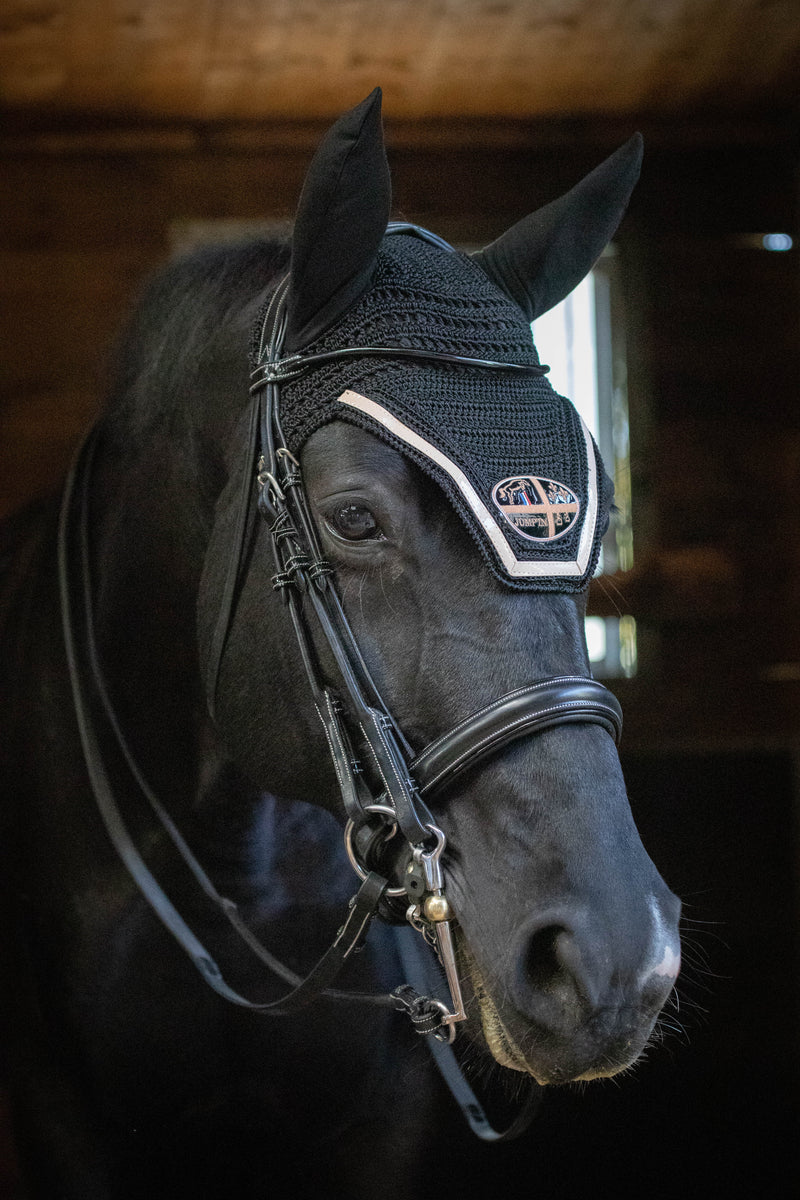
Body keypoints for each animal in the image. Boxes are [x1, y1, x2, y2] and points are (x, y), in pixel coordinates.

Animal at [0, 89, 681, 1199]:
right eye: (354, 518)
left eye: (602, 510)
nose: (618, 959)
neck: (234, 858)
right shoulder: (62, 1123)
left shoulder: (382, 1126)